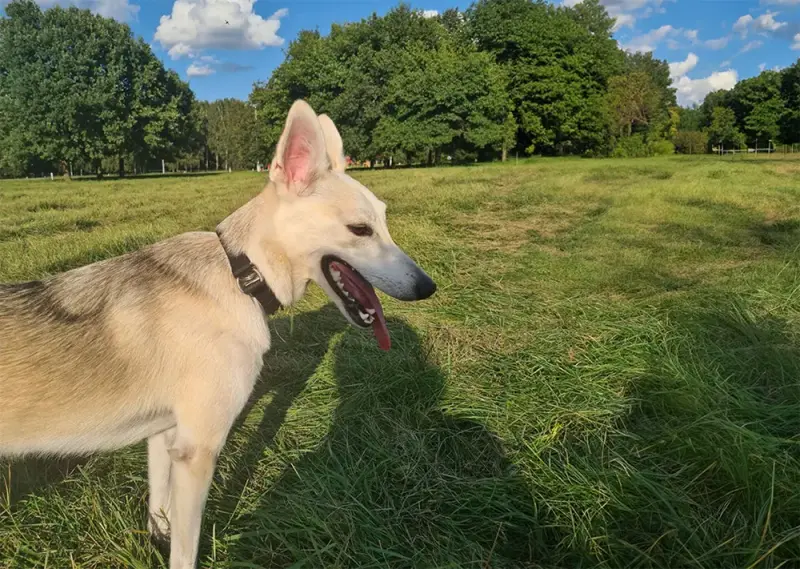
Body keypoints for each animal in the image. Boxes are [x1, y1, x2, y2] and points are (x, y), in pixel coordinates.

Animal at [0, 101, 438, 568]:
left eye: (384, 221)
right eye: (360, 230)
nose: (428, 286)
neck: (242, 275)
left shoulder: (166, 435)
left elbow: (160, 510)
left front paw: (156, 537)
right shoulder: (198, 453)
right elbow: (185, 550)